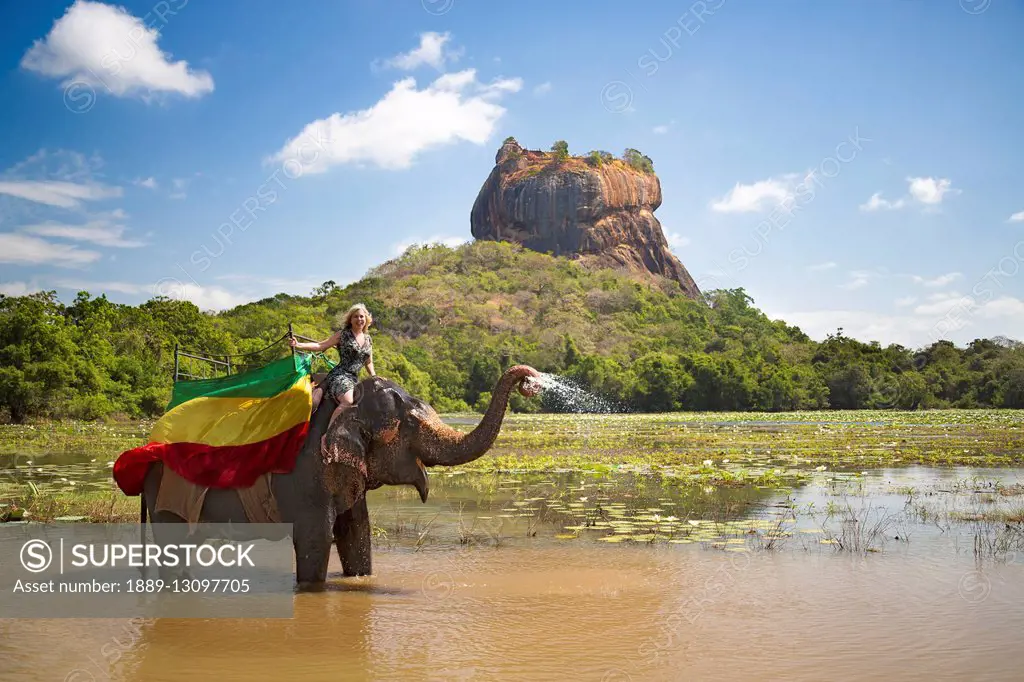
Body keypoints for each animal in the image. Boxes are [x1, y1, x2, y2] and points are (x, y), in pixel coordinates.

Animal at [145, 360, 548, 585]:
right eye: (410, 426)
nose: (530, 379)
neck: (345, 404)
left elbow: (357, 532)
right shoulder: (304, 474)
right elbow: (316, 539)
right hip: (167, 494)